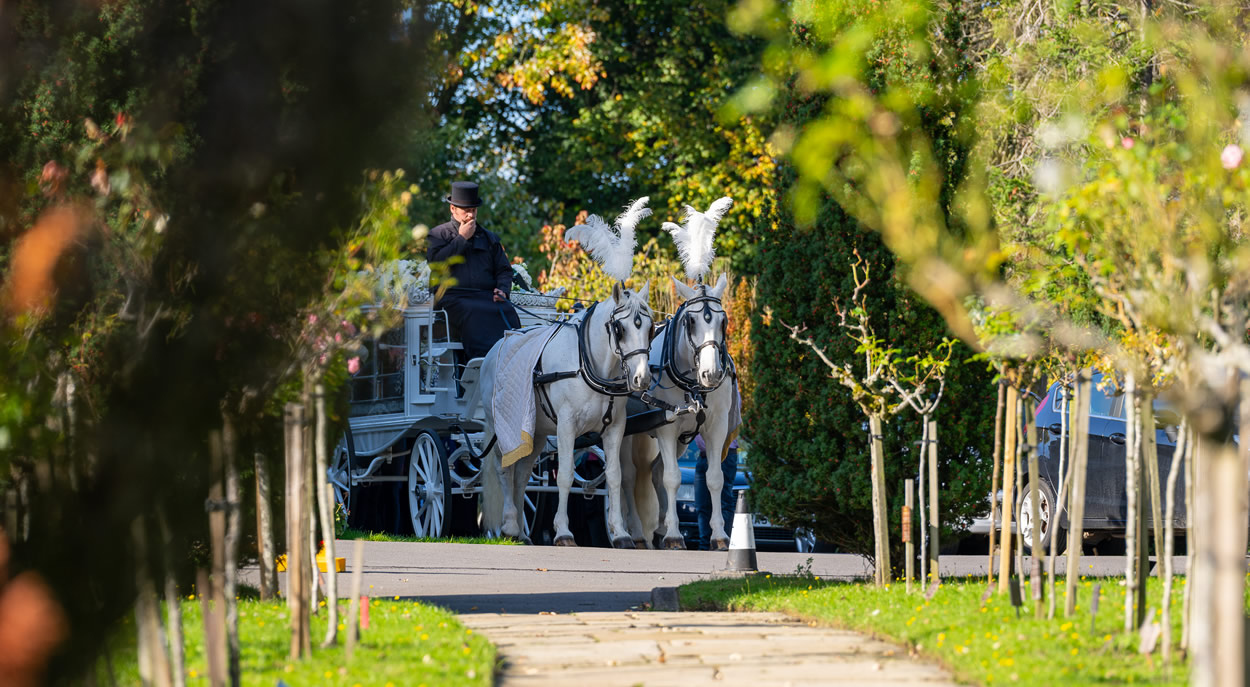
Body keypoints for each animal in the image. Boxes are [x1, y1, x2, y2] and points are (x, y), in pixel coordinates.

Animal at [622, 274, 735, 549]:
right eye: (691, 321)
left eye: (723, 321)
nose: (711, 373)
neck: (694, 385)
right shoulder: (667, 428)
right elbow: (672, 478)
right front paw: (674, 535)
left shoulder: (717, 428)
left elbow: (715, 478)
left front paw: (719, 535)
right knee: (628, 475)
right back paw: (636, 533)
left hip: (680, 441)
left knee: (654, 471)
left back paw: (659, 528)